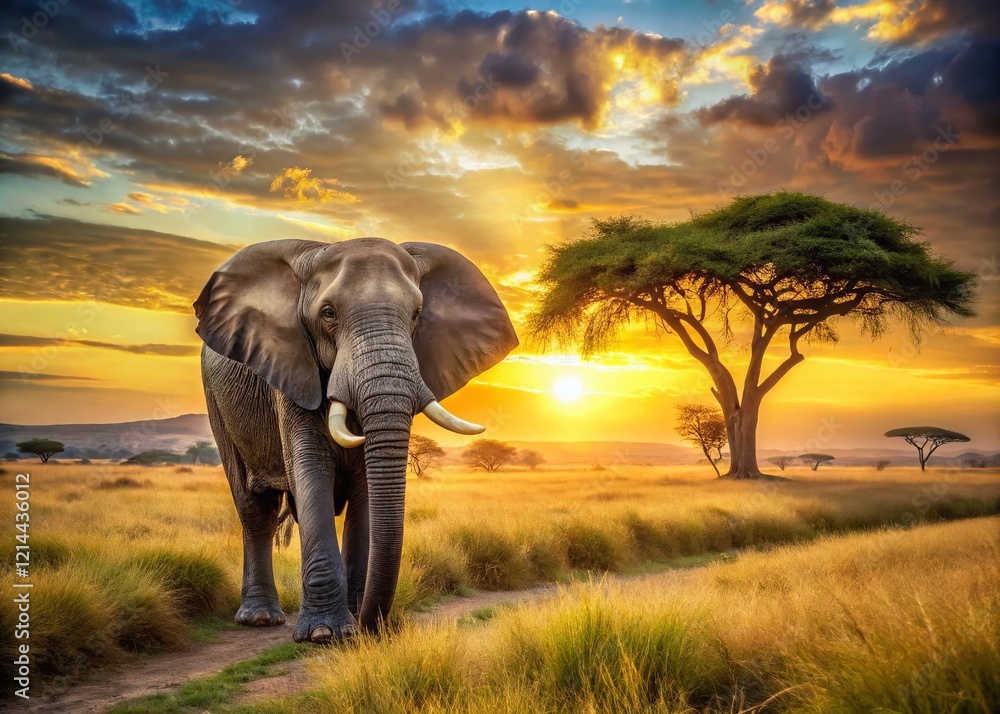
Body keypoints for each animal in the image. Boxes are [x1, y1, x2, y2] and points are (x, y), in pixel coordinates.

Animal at [193, 237, 517, 644]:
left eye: (417, 313)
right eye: (328, 313)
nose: (372, 627)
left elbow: (366, 484)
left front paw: (355, 625)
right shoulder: (293, 372)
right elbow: (311, 471)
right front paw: (324, 634)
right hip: (216, 402)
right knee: (255, 509)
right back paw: (260, 618)